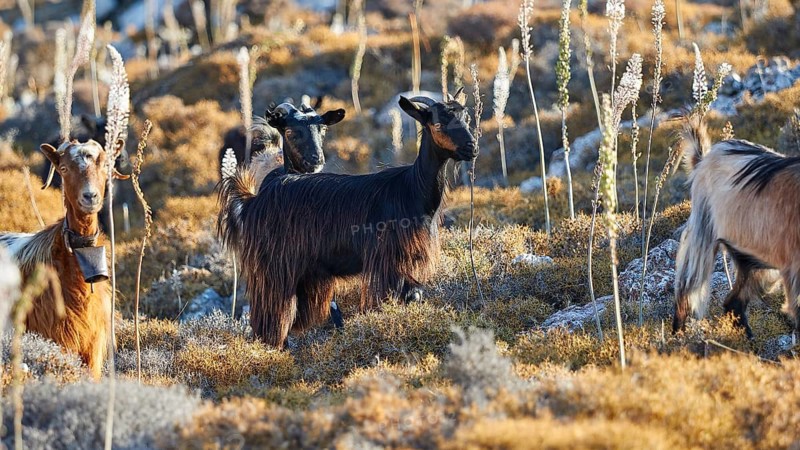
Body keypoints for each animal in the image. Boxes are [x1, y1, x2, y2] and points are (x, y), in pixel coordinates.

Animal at [218, 91, 476, 348]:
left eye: (466, 119)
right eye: (438, 124)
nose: (471, 148)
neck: (411, 190)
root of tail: (255, 198)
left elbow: (415, 295)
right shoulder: (387, 261)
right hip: (274, 268)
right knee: (270, 319)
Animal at [673, 117, 797, 339]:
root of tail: (703, 158)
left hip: (755, 258)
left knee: (734, 301)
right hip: (703, 229)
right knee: (689, 284)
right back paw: (678, 334)